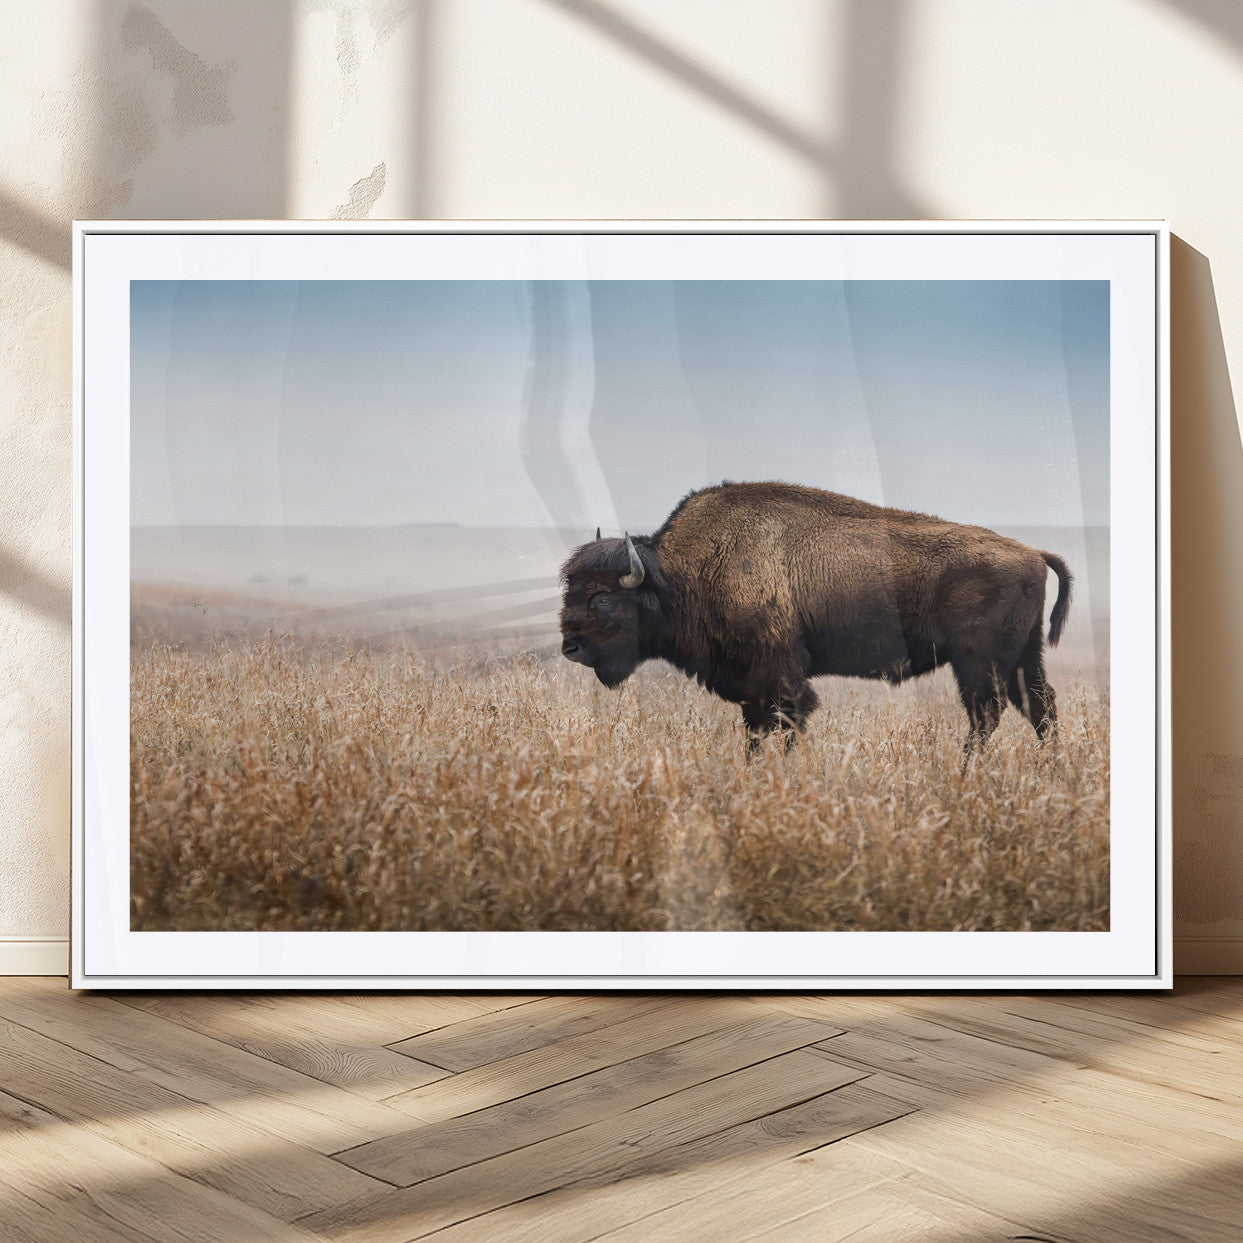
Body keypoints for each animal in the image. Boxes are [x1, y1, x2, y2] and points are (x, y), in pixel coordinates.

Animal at [559, 481, 1072, 754]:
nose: (570, 647)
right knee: (1040, 708)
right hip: (1023, 657)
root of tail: (1032, 552)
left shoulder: (782, 681)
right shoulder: (752, 689)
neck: (685, 572)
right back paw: (1051, 772)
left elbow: (787, 725)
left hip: (978, 662)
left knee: (988, 714)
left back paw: (966, 773)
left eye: (602, 598)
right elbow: (756, 734)